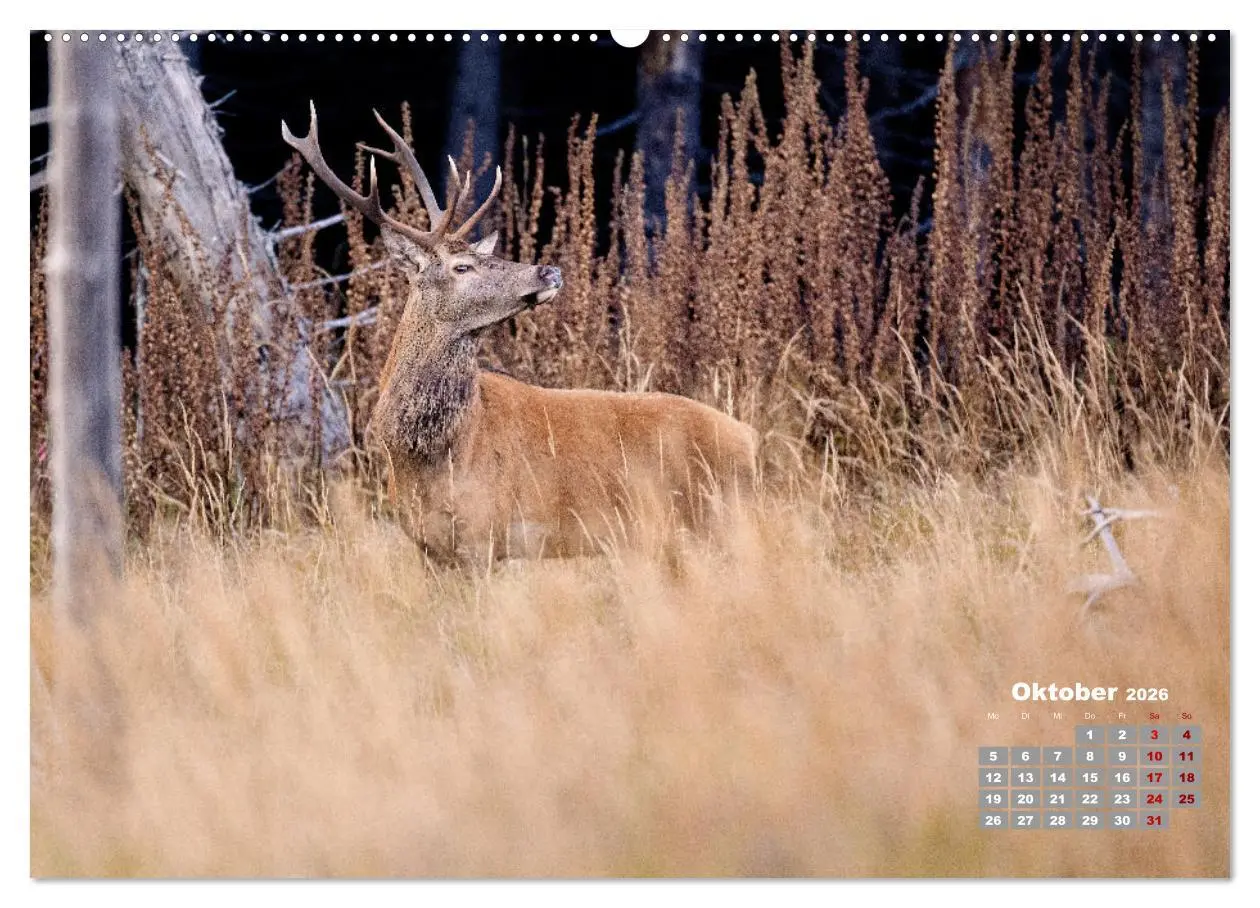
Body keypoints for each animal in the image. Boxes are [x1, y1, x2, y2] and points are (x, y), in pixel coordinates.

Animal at [282, 104, 759, 564]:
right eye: (462, 266)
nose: (549, 270)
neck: (432, 459)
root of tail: (750, 441)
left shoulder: (486, 535)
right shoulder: (427, 546)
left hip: (716, 523)